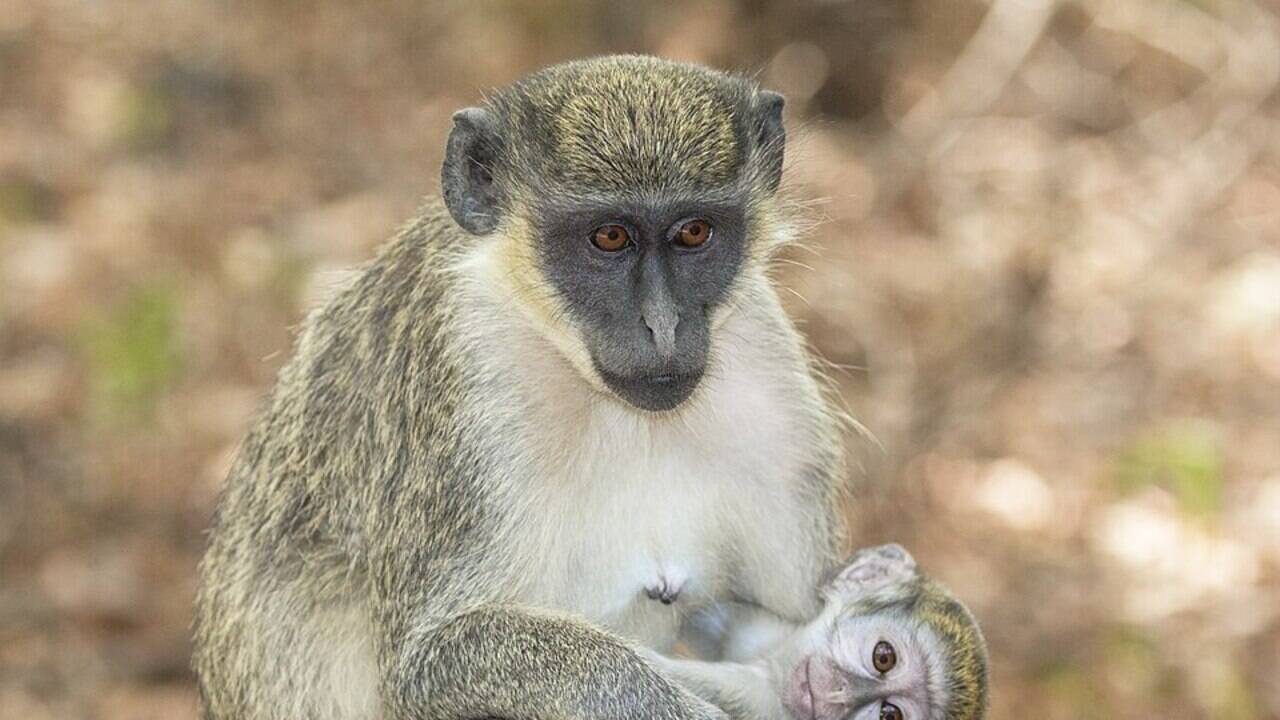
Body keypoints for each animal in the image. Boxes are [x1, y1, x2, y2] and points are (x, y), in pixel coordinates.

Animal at [192, 54, 848, 720]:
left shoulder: (774, 391)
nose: (662, 325)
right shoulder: (461, 389)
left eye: (694, 232)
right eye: (609, 237)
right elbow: (423, 668)